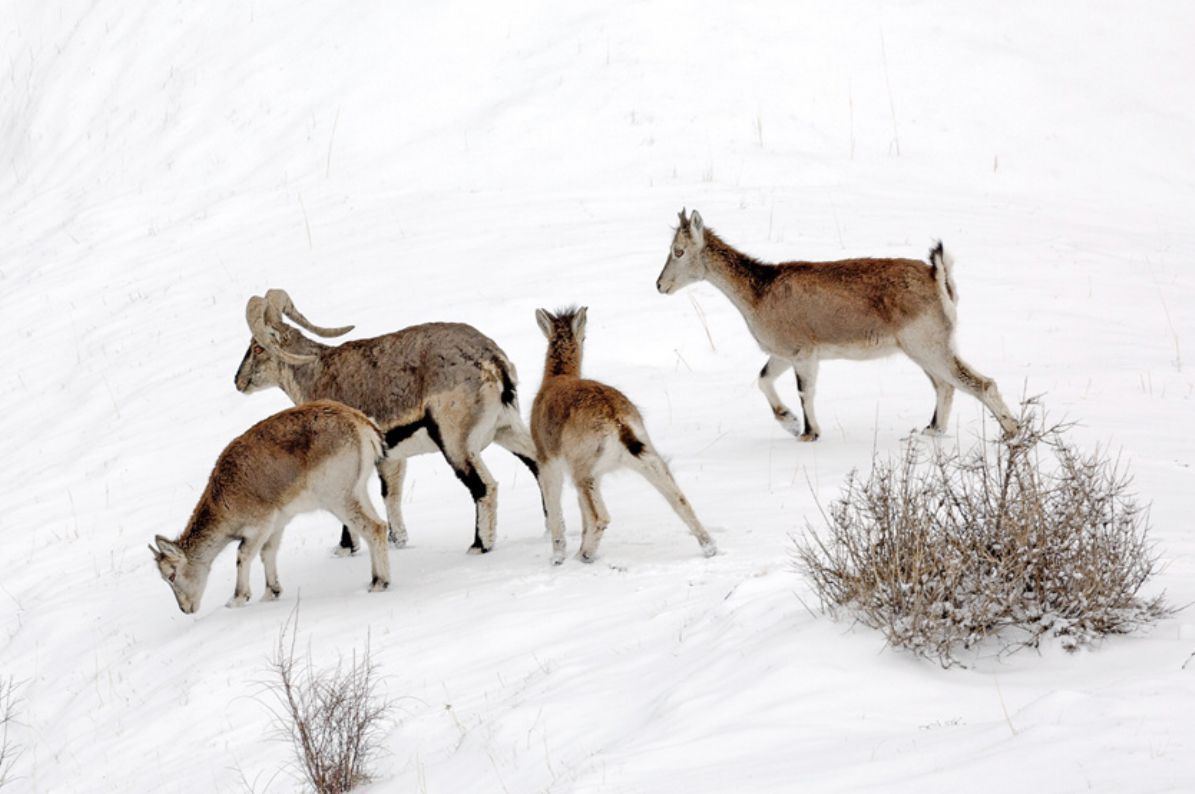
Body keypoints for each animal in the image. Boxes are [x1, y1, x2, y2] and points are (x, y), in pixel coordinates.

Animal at [143, 399, 387, 617]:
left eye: (171, 575)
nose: (185, 609)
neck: (224, 505)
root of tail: (364, 426)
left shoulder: (260, 523)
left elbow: (243, 554)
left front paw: (236, 599)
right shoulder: (278, 522)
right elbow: (267, 552)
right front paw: (271, 592)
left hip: (337, 495)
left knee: (373, 528)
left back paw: (379, 583)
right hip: (358, 489)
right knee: (381, 524)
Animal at [535, 304, 717, 564]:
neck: (557, 378)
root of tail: (617, 420)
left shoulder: (546, 460)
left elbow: (555, 509)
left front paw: (558, 558)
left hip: (583, 470)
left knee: (600, 516)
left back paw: (585, 556)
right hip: (643, 457)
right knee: (679, 499)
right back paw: (709, 547)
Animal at [654, 210, 1018, 440]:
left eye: (678, 250)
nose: (660, 285)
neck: (758, 293)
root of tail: (938, 278)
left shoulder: (803, 353)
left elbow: (805, 391)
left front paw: (808, 433)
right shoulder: (782, 354)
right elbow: (763, 380)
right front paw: (789, 423)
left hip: (928, 345)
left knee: (979, 384)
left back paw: (1012, 435)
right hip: (927, 348)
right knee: (945, 386)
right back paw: (931, 432)